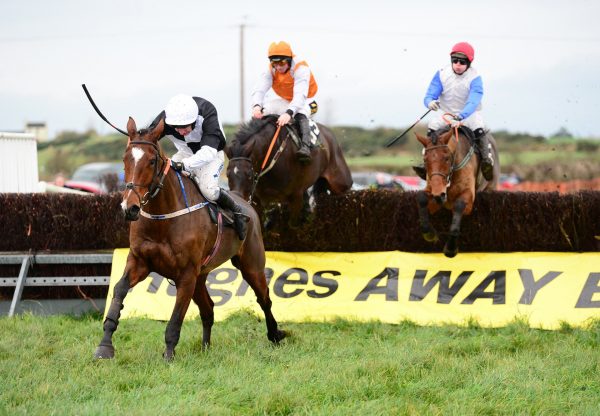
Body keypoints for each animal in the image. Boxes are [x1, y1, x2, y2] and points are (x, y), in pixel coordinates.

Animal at [95, 117, 286, 360]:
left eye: (151, 161)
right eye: (125, 159)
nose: (130, 208)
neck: (163, 218)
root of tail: (244, 200)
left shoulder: (185, 274)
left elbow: (175, 319)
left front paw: (168, 355)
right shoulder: (140, 262)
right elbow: (119, 291)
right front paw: (105, 345)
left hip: (251, 265)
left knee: (264, 299)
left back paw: (275, 334)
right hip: (201, 276)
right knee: (209, 308)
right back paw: (205, 348)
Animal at [224, 115, 352, 228]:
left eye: (249, 174)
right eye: (227, 174)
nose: (239, 201)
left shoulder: (296, 196)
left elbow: (293, 225)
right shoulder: (257, 199)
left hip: (340, 181)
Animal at [414, 114, 500, 256]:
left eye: (447, 158)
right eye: (425, 159)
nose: (439, 195)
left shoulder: (468, 196)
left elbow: (459, 206)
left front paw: (451, 247)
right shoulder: (433, 190)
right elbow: (421, 198)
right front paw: (429, 233)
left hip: (491, 185)